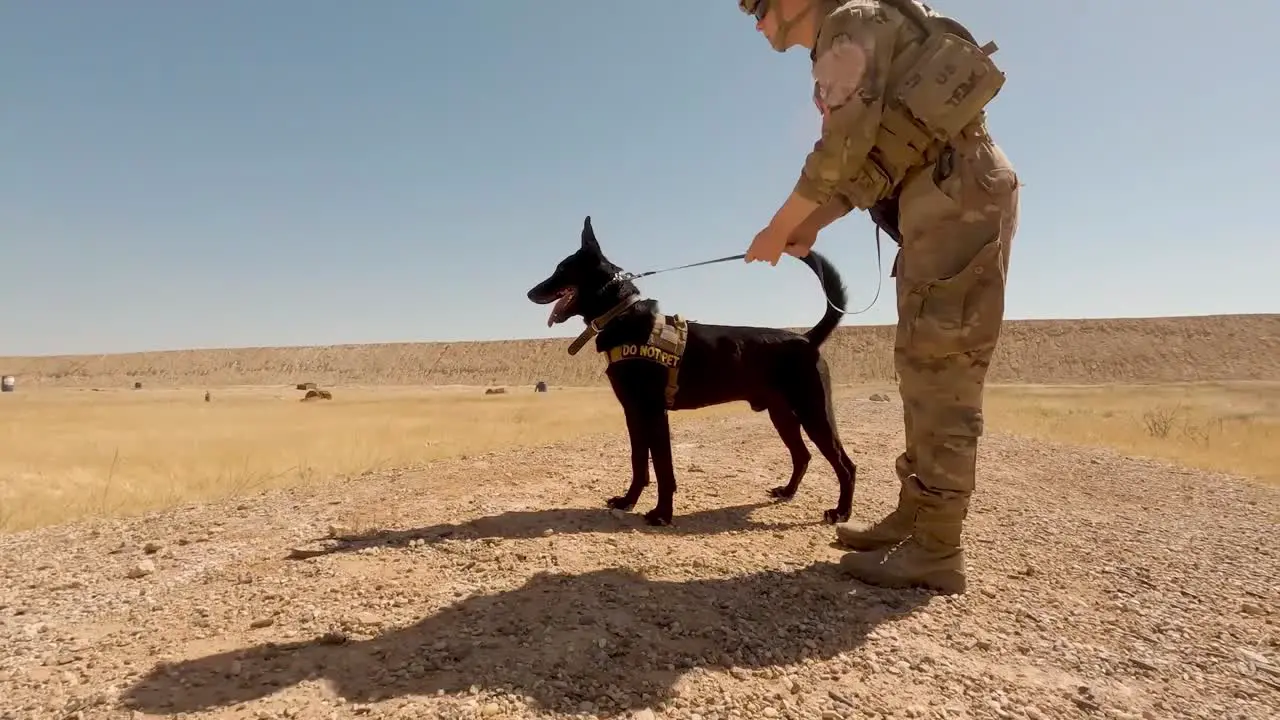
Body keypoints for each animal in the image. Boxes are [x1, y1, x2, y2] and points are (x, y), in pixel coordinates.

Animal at [524, 215, 855, 525]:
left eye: (561, 269)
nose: (529, 293)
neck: (622, 315)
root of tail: (807, 338)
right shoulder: (634, 413)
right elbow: (639, 463)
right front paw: (628, 501)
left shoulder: (654, 413)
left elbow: (663, 468)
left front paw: (662, 513)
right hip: (782, 414)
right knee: (802, 455)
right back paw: (787, 492)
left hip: (815, 414)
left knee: (845, 465)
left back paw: (841, 512)